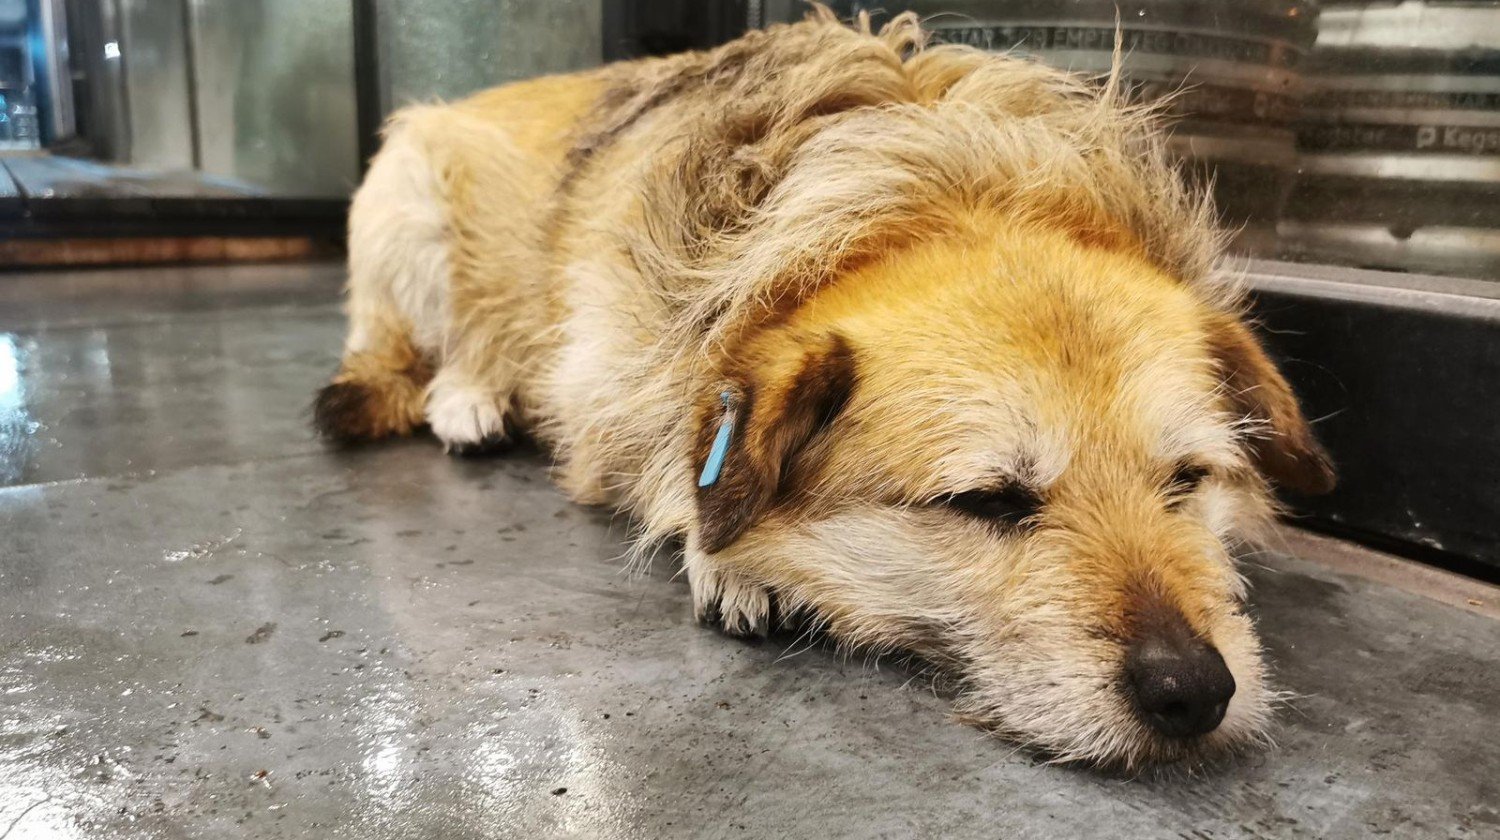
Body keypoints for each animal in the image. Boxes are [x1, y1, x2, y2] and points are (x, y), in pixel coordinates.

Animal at [313, 8, 1335, 768]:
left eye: (1187, 481)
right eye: (988, 502)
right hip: (408, 213)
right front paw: (723, 553)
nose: (1194, 691)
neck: (932, 193)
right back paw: (470, 398)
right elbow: (671, 455)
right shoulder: (613, 387)